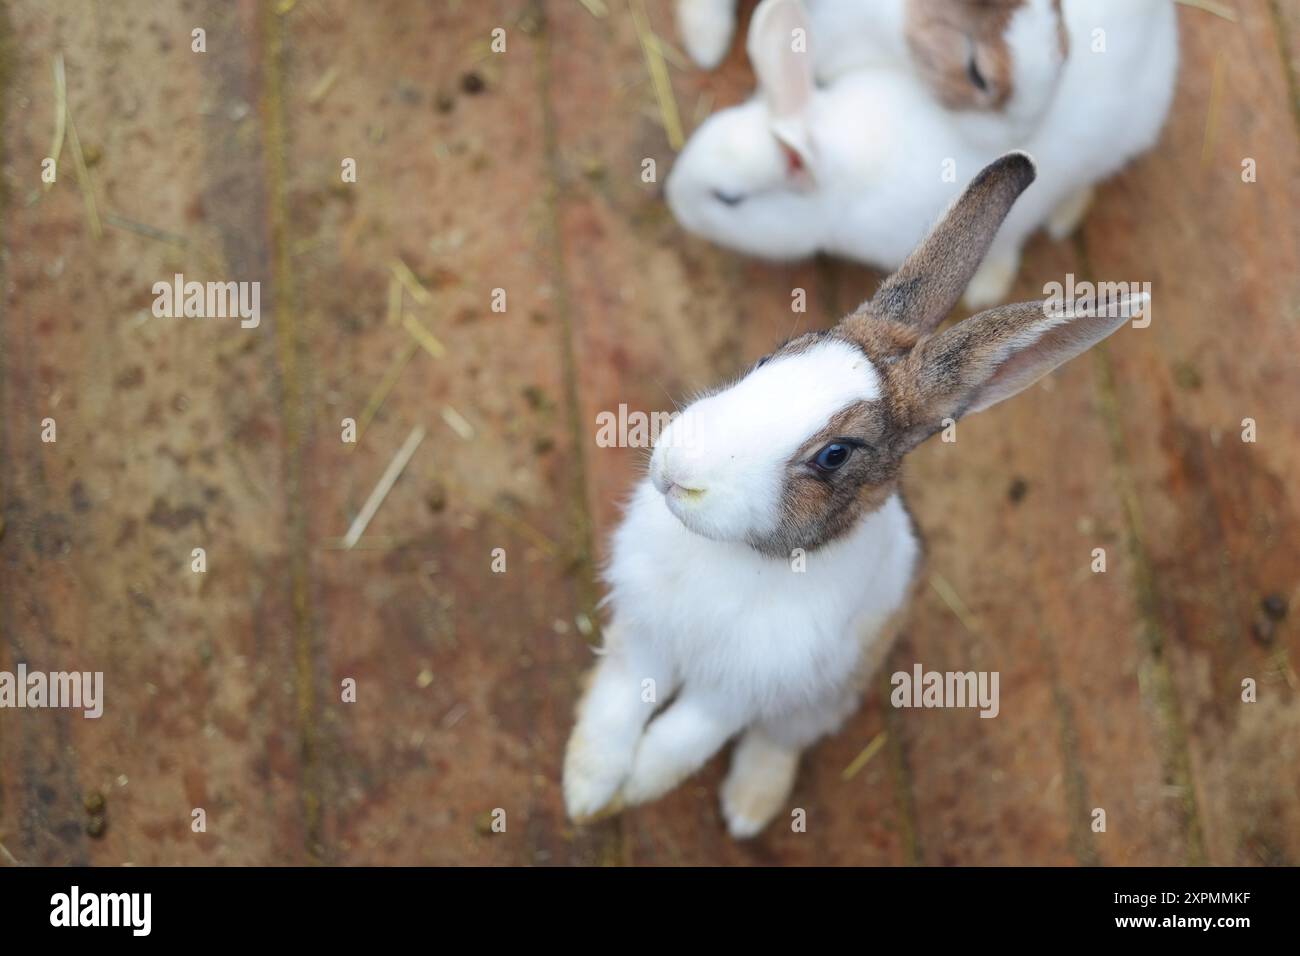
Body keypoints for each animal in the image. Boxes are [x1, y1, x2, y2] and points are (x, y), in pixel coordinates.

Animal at [563, 151, 1149, 838]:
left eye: (835, 455)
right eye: (769, 358)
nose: (678, 470)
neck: (741, 557)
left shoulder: (746, 685)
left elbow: (684, 737)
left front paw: (634, 789)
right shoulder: (644, 632)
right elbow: (616, 706)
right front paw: (586, 792)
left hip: (829, 692)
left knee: (779, 740)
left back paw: (748, 810)